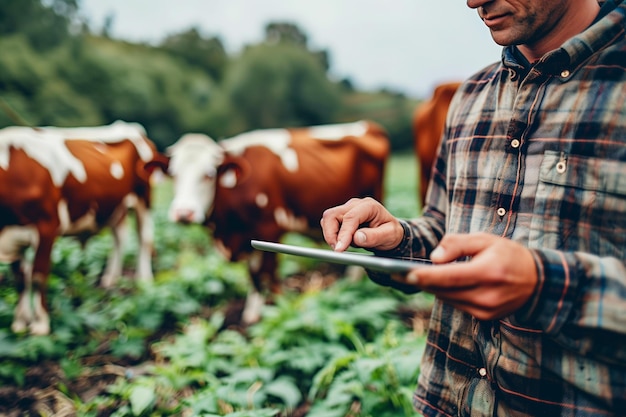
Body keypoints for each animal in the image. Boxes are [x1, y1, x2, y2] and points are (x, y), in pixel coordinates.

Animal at [0, 121, 166, 334]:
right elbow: (20, 280)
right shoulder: (14, 237)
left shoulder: (47, 227)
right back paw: (110, 279)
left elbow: (37, 276)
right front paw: (20, 323)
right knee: (119, 238)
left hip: (143, 198)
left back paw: (144, 281)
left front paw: (40, 325)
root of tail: (130, 127)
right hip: (115, 207)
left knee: (144, 238)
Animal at [165, 120, 390, 322]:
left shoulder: (269, 229)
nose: (183, 213)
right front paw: (251, 314)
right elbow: (254, 276)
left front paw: (279, 308)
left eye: (209, 174)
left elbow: (268, 274)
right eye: (173, 175)